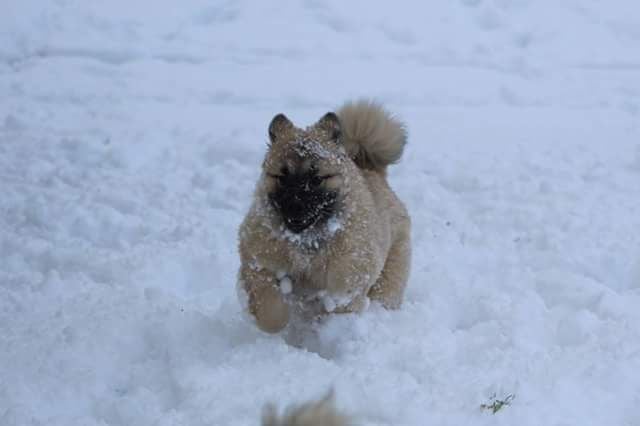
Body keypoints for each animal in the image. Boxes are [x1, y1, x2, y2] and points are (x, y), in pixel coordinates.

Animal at [237, 100, 411, 333]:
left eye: (316, 179)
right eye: (282, 177)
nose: (296, 205)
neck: (306, 242)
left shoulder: (351, 273)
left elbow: (340, 298)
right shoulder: (258, 261)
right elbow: (271, 309)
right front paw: (276, 322)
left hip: (388, 279)